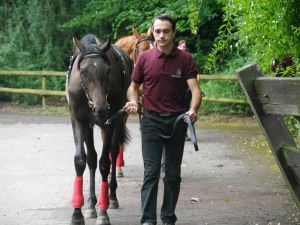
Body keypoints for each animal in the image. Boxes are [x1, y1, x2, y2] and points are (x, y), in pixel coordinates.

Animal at [67, 33, 132, 225]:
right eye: (83, 71)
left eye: (108, 71)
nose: (101, 109)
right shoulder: (79, 121)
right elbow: (82, 160)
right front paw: (78, 211)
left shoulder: (109, 122)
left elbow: (104, 163)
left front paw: (103, 212)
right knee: (92, 158)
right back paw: (91, 203)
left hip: (117, 120)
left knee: (113, 151)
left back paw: (112, 197)